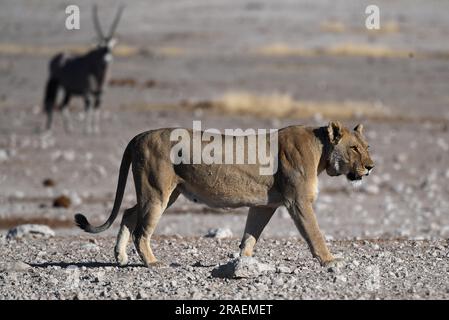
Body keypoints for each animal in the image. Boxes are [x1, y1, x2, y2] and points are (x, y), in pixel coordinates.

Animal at [43, 6, 123, 134]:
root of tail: (59, 56)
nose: (107, 60)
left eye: (111, 48)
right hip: (54, 82)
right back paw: (49, 127)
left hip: (68, 90)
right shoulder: (87, 93)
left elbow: (96, 109)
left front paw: (96, 129)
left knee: (63, 105)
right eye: (101, 48)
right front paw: (87, 129)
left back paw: (69, 128)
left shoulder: (100, 94)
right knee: (50, 102)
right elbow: (88, 108)